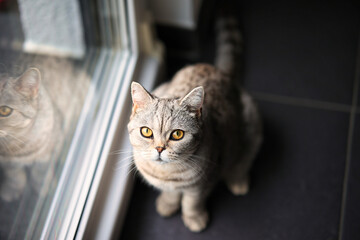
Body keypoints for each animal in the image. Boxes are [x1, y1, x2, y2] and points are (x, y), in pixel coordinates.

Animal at [0, 51, 87, 202]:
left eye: (4, 110)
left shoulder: (49, 153)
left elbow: (40, 174)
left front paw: (42, 190)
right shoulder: (7, 164)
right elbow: (14, 175)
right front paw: (13, 189)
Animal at [128, 15, 262, 232]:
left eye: (177, 134)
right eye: (146, 132)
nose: (159, 148)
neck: (167, 174)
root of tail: (220, 70)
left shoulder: (204, 182)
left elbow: (192, 202)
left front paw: (194, 217)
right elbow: (172, 194)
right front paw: (168, 203)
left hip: (252, 124)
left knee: (244, 160)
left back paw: (238, 179)